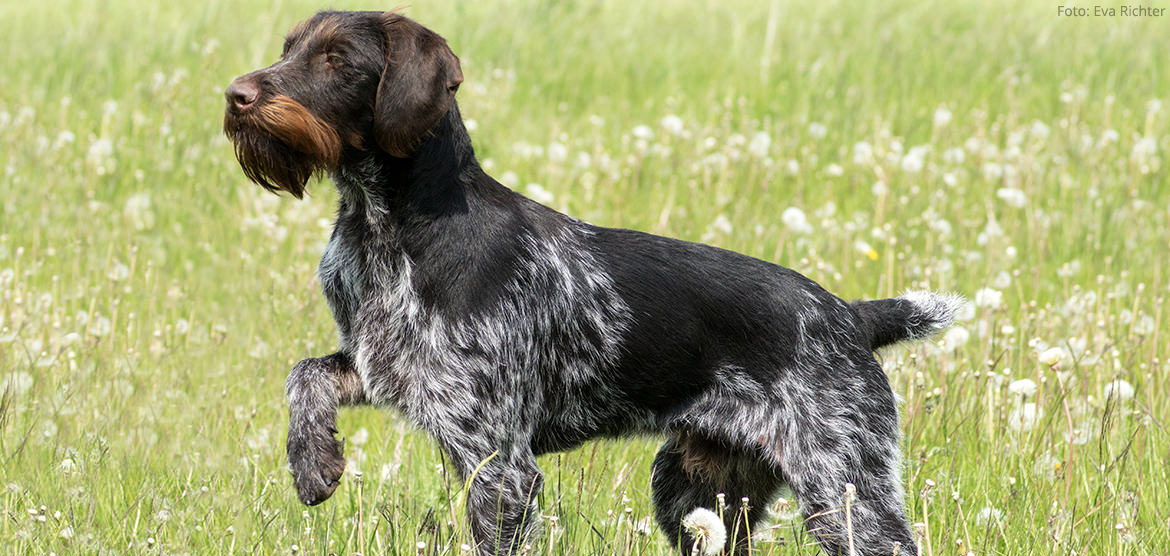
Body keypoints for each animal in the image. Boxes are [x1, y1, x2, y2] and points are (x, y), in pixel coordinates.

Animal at [221, 9, 959, 556]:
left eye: (337, 58)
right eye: (289, 48)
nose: (236, 96)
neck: (388, 225)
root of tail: (852, 316)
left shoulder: (499, 463)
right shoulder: (386, 369)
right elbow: (305, 374)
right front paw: (312, 462)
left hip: (846, 491)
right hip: (697, 494)